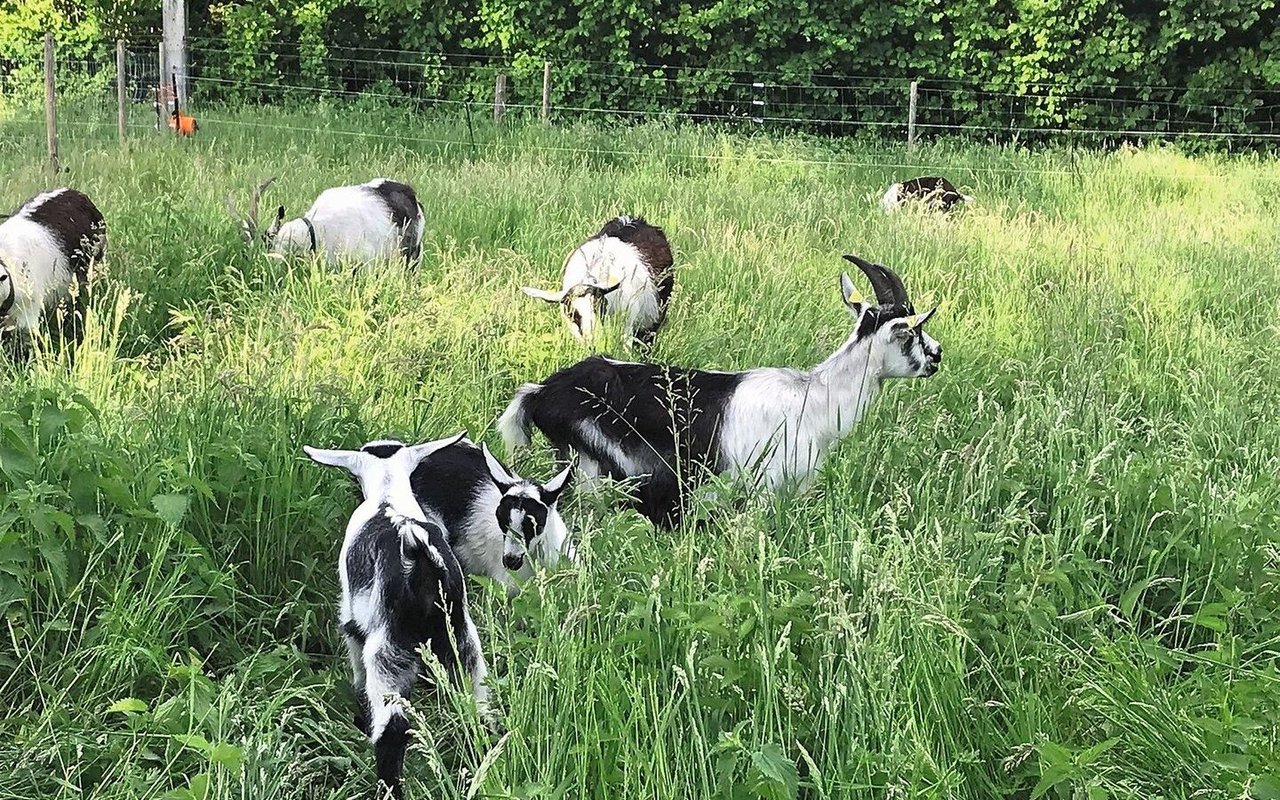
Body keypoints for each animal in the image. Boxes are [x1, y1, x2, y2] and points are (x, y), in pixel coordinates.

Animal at [304, 433, 488, 799]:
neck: (388, 495)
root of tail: (423, 561)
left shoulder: (353, 627)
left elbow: (357, 676)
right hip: (465, 649)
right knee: (480, 712)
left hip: (388, 655)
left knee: (392, 730)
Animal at [499, 254, 942, 527]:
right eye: (913, 333)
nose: (937, 355)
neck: (813, 398)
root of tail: (540, 392)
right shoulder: (764, 490)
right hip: (596, 473)